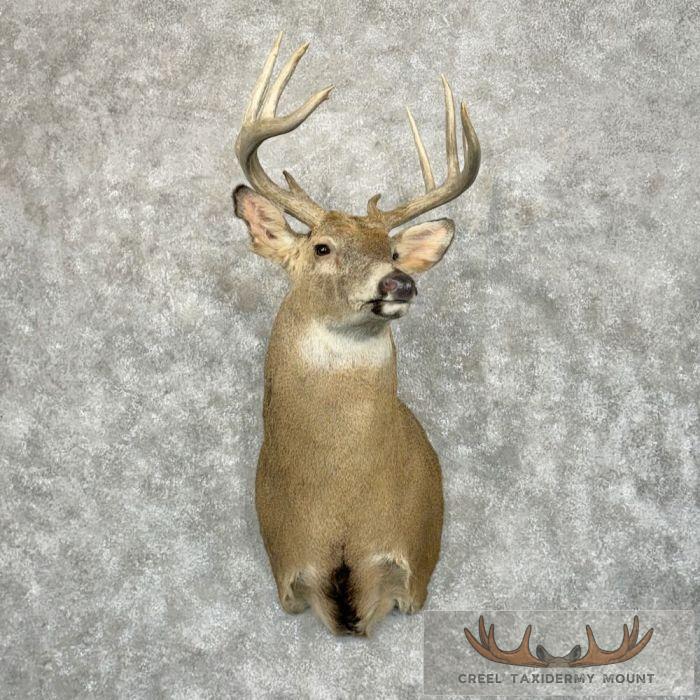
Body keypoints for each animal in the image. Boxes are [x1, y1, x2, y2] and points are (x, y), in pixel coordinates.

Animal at [232, 33, 480, 636]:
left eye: (392, 250)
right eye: (321, 247)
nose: (400, 282)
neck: (342, 506)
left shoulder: (414, 566)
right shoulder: (289, 572)